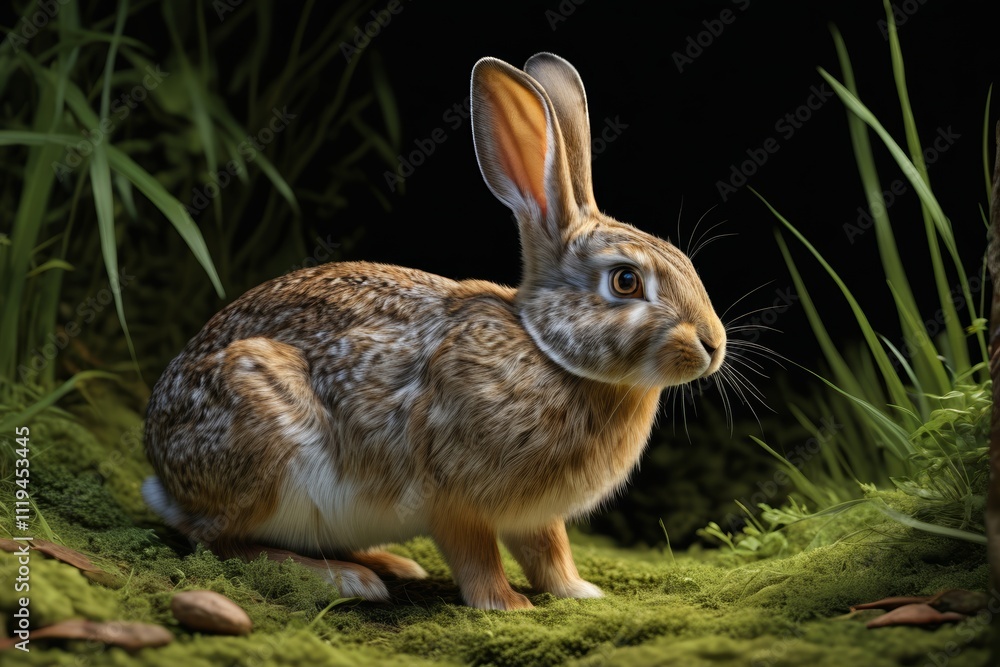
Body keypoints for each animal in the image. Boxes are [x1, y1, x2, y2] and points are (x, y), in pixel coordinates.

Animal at [142, 52, 727, 611]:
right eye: (625, 281)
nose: (713, 345)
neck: (547, 350)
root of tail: (162, 473)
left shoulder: (536, 516)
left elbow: (549, 550)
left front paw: (579, 592)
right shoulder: (454, 495)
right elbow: (476, 554)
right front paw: (506, 605)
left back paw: (388, 564)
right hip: (264, 444)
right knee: (219, 541)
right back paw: (348, 579)